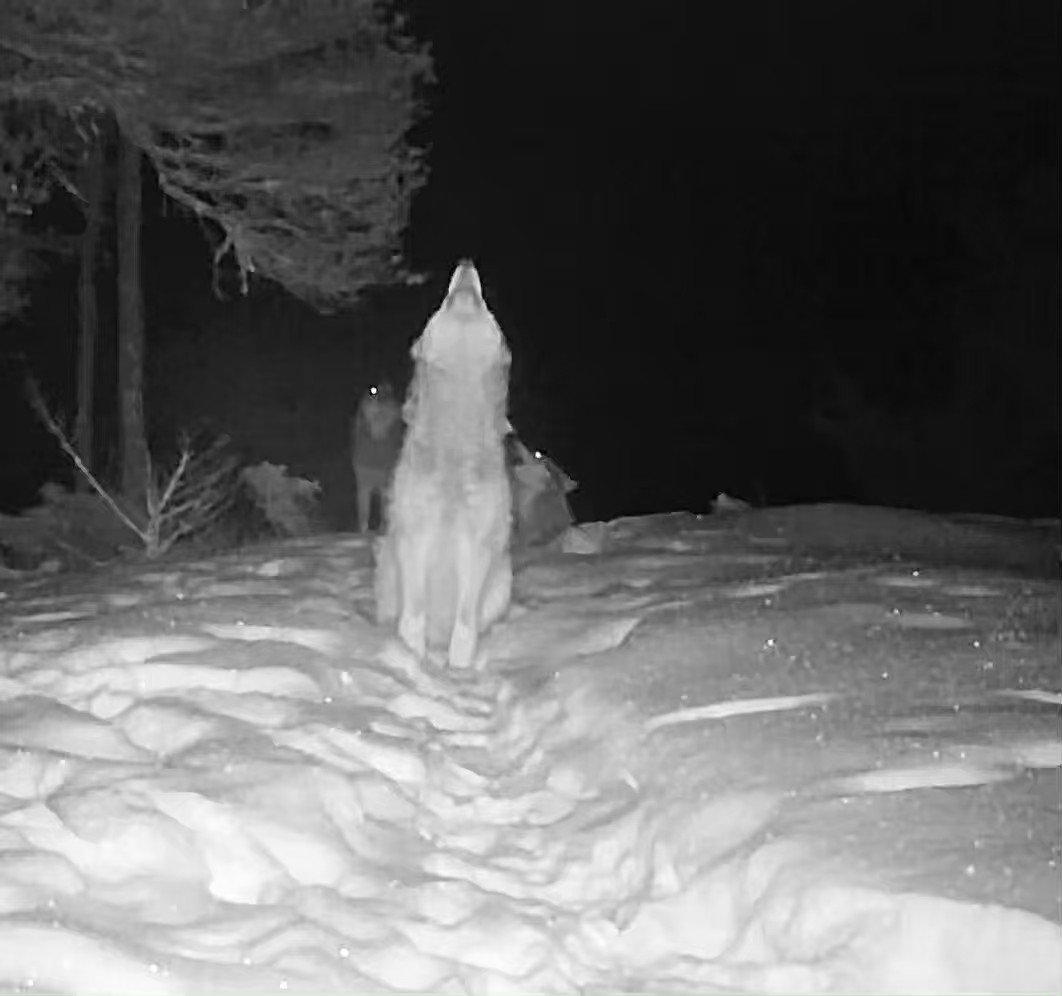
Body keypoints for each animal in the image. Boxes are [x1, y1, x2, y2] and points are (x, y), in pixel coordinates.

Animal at [351, 382, 404, 533]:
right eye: (372, 391)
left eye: (389, 394)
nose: (378, 401)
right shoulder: (363, 483)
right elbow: (363, 512)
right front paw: (363, 531)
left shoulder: (386, 484)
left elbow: (385, 512)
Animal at [374, 260, 513, 669]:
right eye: (441, 300)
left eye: (486, 301)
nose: (466, 262)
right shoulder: (415, 536)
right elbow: (413, 617)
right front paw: (410, 661)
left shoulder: (477, 545)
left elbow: (464, 626)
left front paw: (458, 671)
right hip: (387, 566)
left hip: (503, 580)